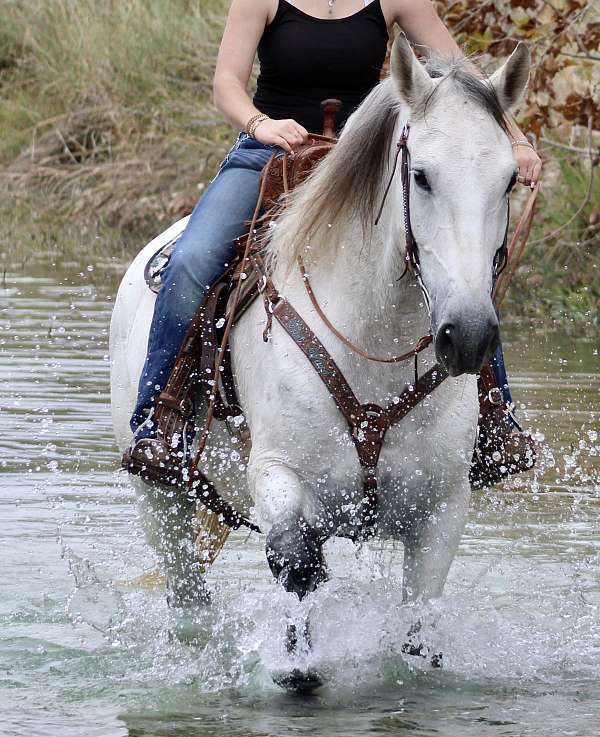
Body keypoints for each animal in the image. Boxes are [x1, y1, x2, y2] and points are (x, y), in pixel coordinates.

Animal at [109, 34, 528, 656]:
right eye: (421, 176)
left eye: (509, 181)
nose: (469, 334)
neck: (372, 340)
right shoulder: (278, 477)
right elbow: (297, 565)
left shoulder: (442, 511)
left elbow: (417, 628)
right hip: (165, 506)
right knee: (188, 601)